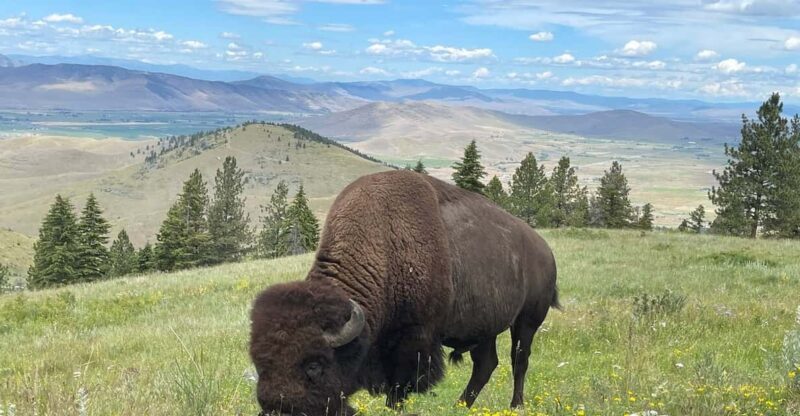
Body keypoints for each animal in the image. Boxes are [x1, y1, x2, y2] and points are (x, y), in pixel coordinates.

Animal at [250, 170, 559, 415]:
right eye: (260, 363)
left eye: (314, 365)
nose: (277, 408)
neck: (383, 246)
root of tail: (545, 249)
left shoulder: (414, 339)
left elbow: (400, 386)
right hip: (484, 328)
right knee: (485, 364)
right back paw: (460, 406)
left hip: (527, 321)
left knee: (519, 360)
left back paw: (515, 405)